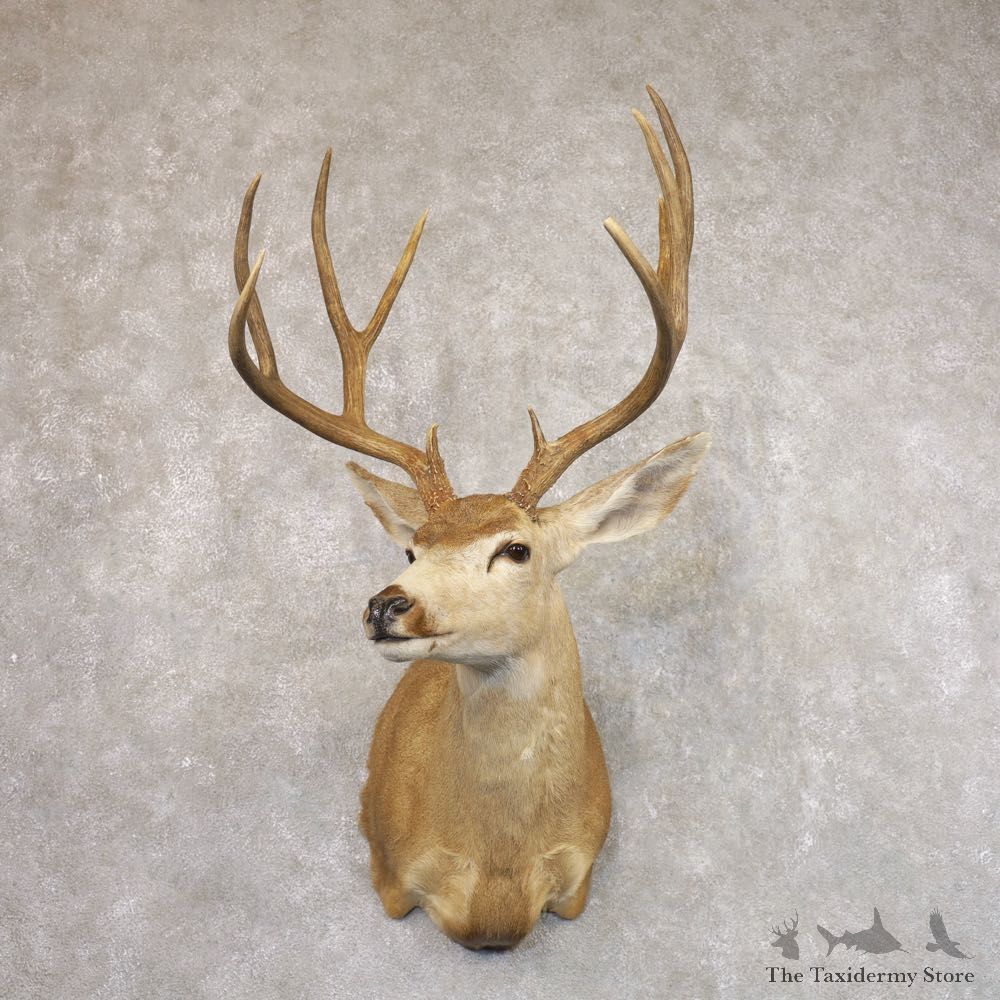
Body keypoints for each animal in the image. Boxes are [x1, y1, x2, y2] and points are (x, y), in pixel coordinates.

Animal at [227, 85, 709, 950]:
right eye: (413, 547)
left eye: (515, 549)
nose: (388, 604)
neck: (498, 870)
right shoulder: (391, 875)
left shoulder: (579, 879)